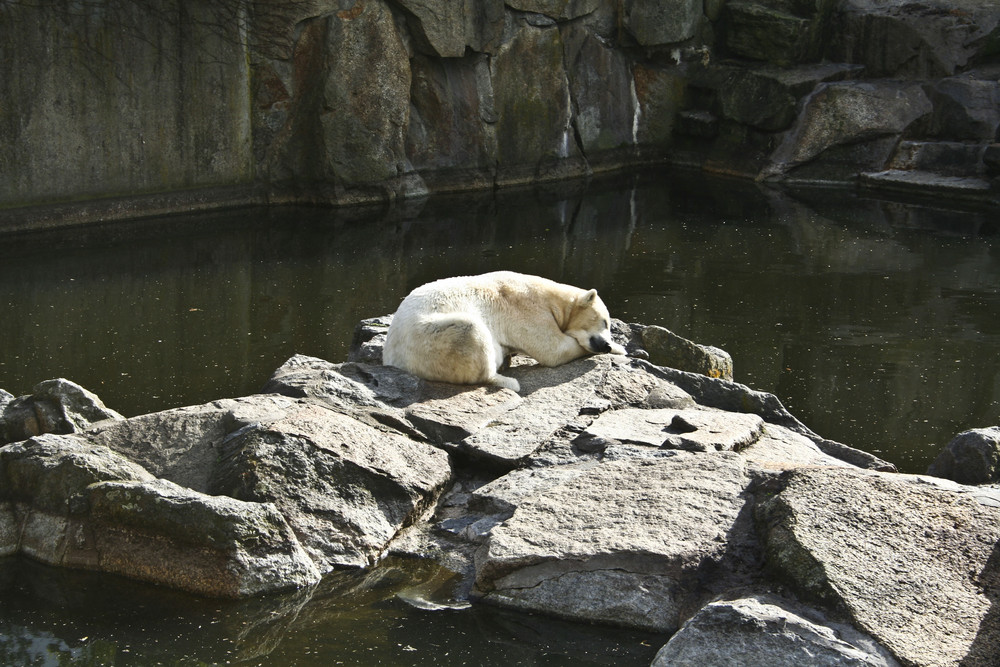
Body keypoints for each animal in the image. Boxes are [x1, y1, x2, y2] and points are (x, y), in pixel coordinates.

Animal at [382, 272, 624, 394]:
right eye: (605, 321)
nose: (605, 345)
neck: (551, 298)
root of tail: (391, 357)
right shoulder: (528, 310)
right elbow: (553, 349)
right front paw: (620, 349)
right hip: (428, 338)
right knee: (470, 329)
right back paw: (507, 380)